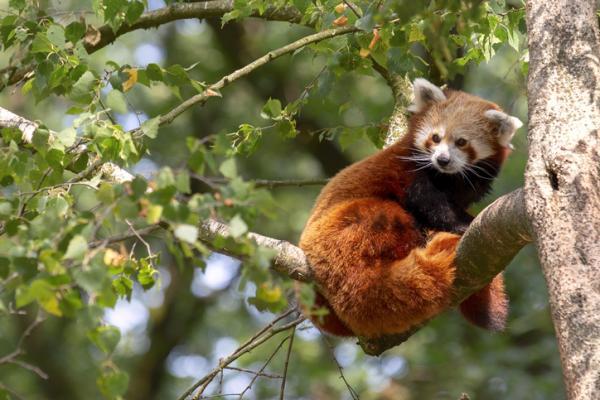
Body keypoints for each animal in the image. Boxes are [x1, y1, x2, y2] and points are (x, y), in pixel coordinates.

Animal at [298, 78, 520, 338]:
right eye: (436, 137)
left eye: (461, 142)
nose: (442, 159)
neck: (450, 178)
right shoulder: (410, 174)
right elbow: (427, 203)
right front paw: (462, 225)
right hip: (345, 228)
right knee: (386, 216)